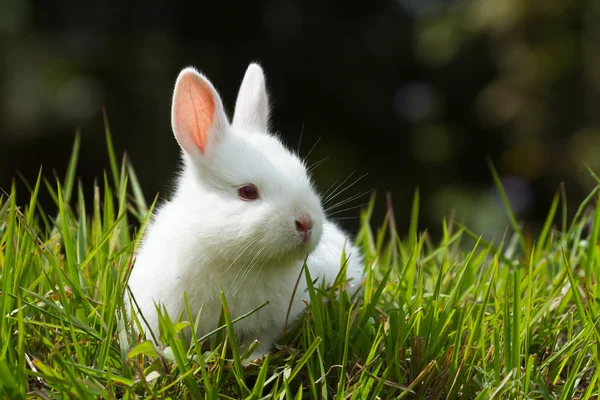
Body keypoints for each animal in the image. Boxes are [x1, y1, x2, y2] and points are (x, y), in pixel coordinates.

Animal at [127, 62, 366, 360]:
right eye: (248, 192)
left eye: (302, 174)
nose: (305, 223)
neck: (238, 260)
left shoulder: (268, 326)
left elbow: (259, 341)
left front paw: (253, 359)